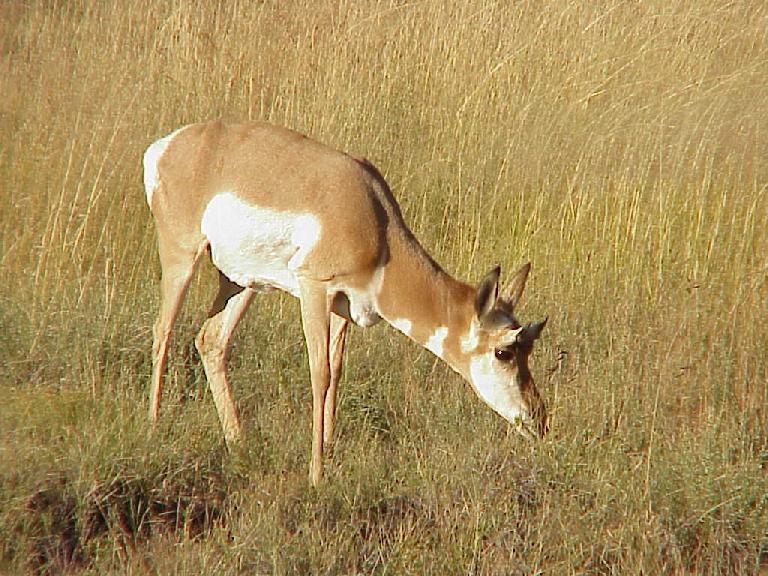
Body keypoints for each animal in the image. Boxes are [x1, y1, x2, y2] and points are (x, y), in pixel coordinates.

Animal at [143, 120, 548, 485]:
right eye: (504, 352)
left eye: (529, 347)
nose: (539, 417)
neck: (376, 222)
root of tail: (171, 144)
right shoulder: (314, 289)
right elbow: (319, 373)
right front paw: (316, 474)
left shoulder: (343, 307)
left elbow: (336, 371)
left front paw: (330, 450)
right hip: (182, 257)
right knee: (162, 332)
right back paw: (153, 428)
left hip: (244, 282)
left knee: (210, 340)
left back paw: (239, 446)